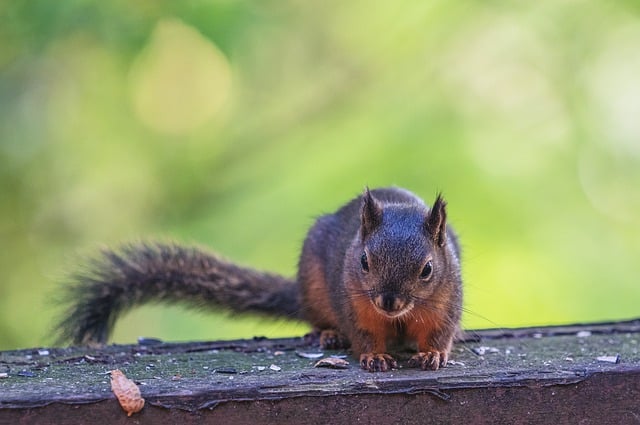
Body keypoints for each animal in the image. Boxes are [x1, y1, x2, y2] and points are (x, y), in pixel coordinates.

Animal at [57, 186, 462, 372]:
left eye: (427, 269)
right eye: (364, 261)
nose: (388, 302)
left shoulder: (445, 303)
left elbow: (440, 332)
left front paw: (432, 354)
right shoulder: (354, 304)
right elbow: (362, 333)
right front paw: (375, 356)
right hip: (314, 290)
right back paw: (328, 334)